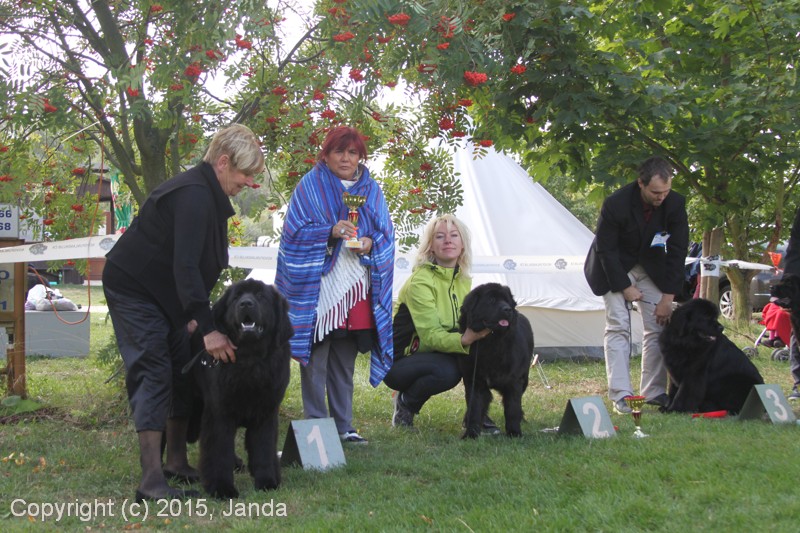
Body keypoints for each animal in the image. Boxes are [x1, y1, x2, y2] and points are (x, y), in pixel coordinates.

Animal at [191, 279, 293, 498]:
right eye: (236, 297)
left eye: (261, 296)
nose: (246, 304)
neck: (250, 361)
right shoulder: (219, 413)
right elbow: (219, 451)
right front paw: (222, 488)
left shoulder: (266, 412)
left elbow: (264, 448)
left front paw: (267, 482)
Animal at [458, 283, 534, 438]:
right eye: (491, 300)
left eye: (506, 301)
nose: (508, 309)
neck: (492, 342)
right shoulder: (474, 381)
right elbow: (474, 407)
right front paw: (471, 433)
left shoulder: (514, 382)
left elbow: (512, 408)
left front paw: (514, 433)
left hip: (525, 378)